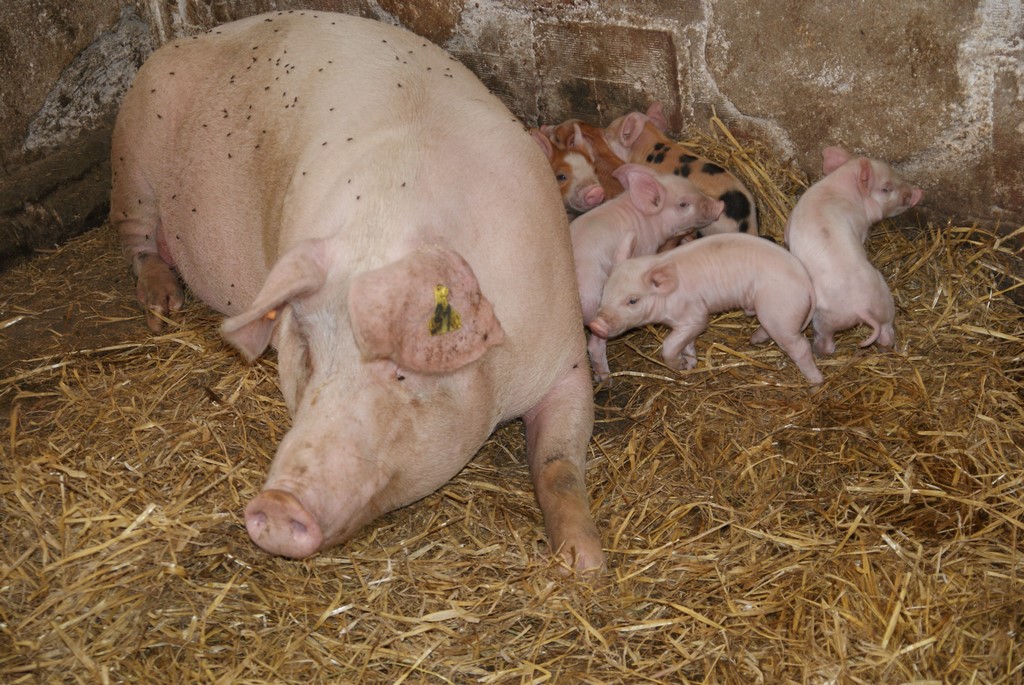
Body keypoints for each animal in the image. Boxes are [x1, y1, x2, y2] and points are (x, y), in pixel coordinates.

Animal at [110, 12, 605, 572]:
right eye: (306, 353)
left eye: (403, 371)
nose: (278, 504)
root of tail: (182, 40)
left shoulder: (565, 358)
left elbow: (558, 464)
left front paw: (584, 565)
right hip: (133, 158)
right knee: (135, 238)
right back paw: (162, 308)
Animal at [568, 164, 725, 381]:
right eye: (683, 204)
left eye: (694, 187)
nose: (720, 205)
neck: (648, 219)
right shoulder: (647, 247)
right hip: (596, 308)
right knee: (594, 344)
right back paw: (606, 379)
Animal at [588, 233, 823, 384]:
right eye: (605, 291)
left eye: (633, 300)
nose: (596, 325)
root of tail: (807, 283)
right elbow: (687, 344)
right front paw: (691, 363)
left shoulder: (694, 315)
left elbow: (670, 345)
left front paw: (679, 366)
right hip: (771, 313)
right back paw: (753, 341)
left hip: (780, 312)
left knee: (801, 346)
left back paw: (816, 382)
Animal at [784, 146, 924, 356]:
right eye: (886, 189)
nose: (916, 193)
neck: (839, 185)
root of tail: (860, 308)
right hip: (878, 304)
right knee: (886, 334)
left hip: (825, 319)